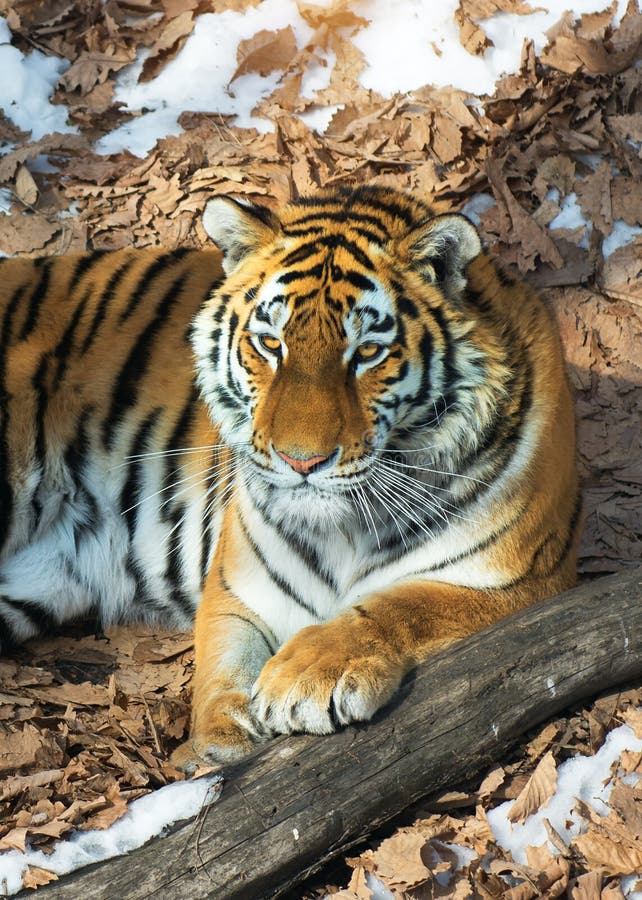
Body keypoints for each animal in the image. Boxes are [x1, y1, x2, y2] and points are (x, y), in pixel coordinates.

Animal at [0, 186, 580, 768]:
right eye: (270, 344)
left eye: (368, 352)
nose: (301, 461)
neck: (345, 530)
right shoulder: (238, 588)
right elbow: (222, 663)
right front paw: (218, 741)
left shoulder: (530, 583)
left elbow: (409, 604)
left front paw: (306, 675)